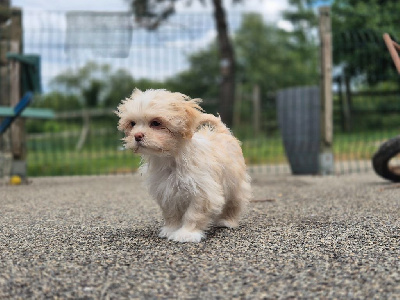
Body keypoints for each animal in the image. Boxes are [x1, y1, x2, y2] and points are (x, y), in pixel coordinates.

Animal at [115, 89, 250, 244]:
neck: (171, 159)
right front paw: (171, 229)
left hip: (235, 183)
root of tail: (222, 132)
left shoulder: (202, 192)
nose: (137, 136)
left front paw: (187, 233)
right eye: (132, 123)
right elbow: (171, 213)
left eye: (156, 123)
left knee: (234, 203)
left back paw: (227, 221)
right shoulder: (166, 191)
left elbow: (194, 214)